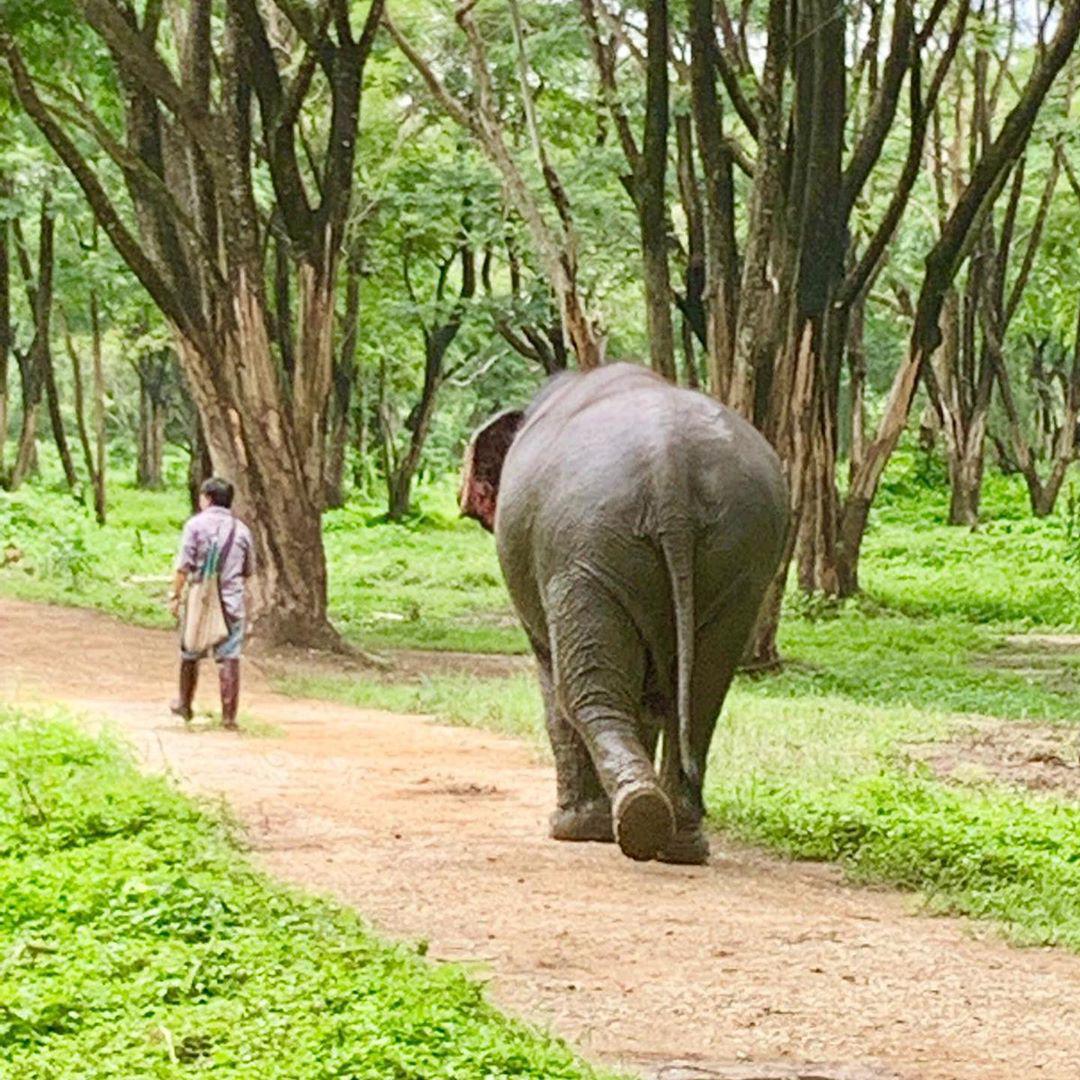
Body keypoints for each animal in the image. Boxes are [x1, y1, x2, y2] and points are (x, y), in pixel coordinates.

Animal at [460, 363, 789, 864]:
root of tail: (670, 465)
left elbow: (552, 683)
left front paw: (569, 829)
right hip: (740, 557)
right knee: (701, 696)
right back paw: (679, 843)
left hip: (585, 551)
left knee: (586, 693)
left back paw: (626, 820)